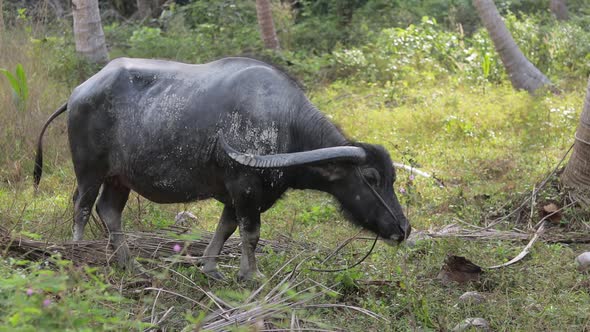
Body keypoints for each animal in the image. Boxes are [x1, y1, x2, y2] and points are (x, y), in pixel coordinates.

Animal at [33, 57, 412, 280]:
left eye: (392, 178)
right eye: (371, 178)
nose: (403, 228)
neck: (285, 125)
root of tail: (80, 91)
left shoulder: (237, 194)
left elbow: (226, 228)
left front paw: (212, 267)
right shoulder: (245, 187)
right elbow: (251, 233)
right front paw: (250, 276)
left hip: (119, 177)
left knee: (109, 211)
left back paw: (132, 265)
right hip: (89, 170)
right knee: (82, 207)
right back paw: (77, 257)